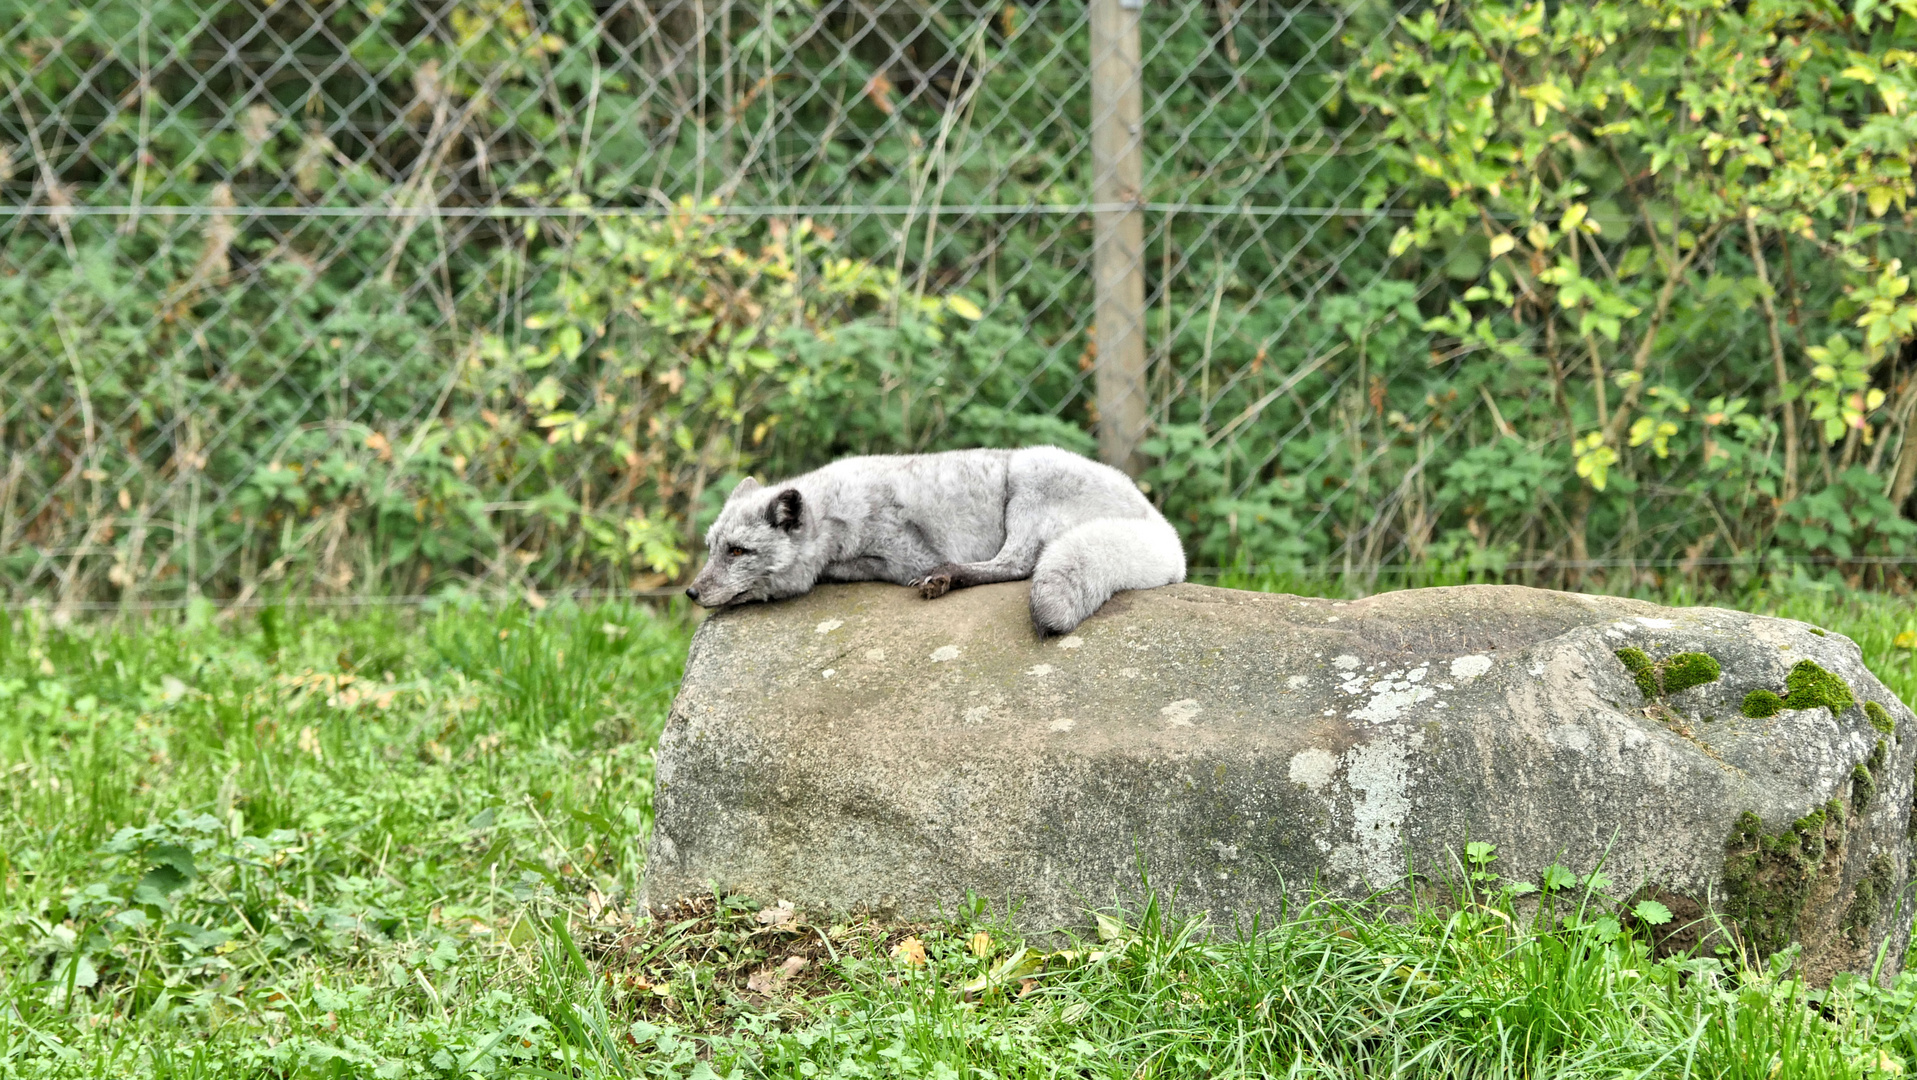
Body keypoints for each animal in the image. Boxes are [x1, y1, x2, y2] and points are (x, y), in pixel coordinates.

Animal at [674, 445, 1180, 633]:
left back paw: (948, 578)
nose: (692, 592)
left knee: (1017, 565)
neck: (835, 515)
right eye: (712, 549)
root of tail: (1163, 530)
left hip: (1028, 477)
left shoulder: (908, 556)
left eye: (738, 551)